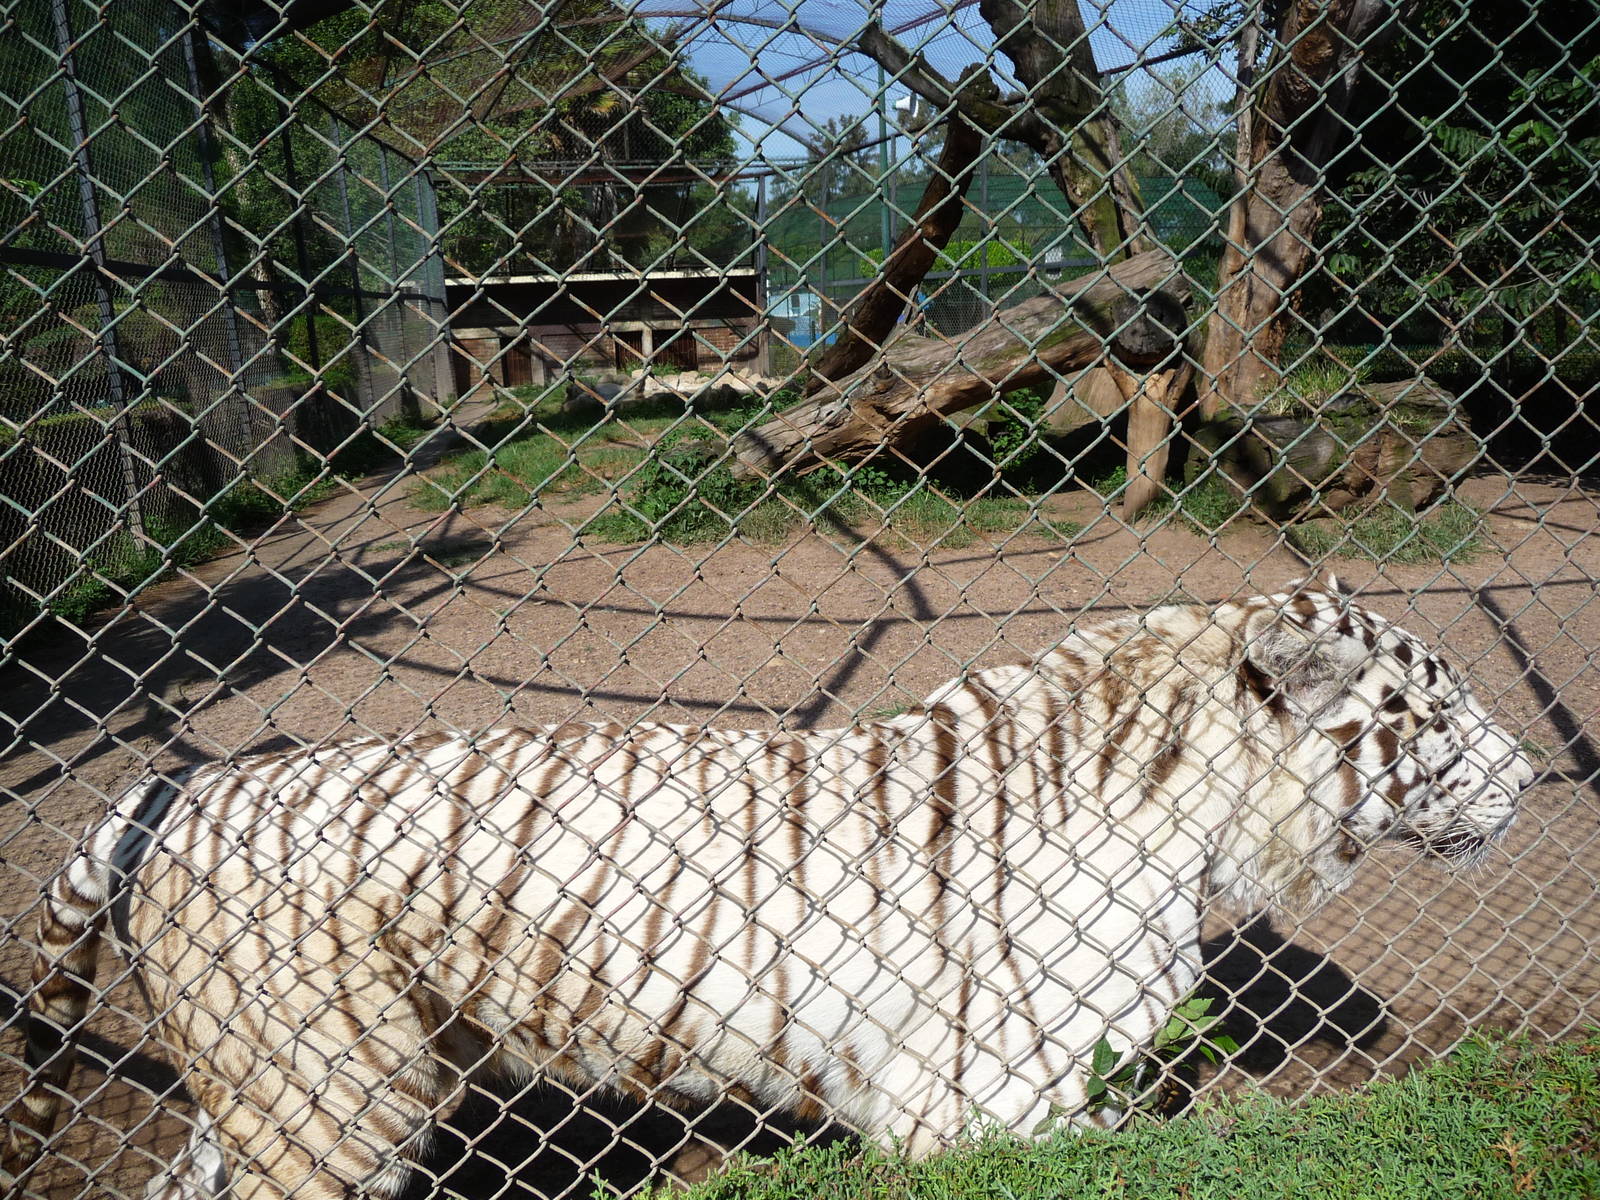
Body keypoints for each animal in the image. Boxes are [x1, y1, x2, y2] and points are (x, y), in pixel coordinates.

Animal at [3, 579, 1534, 1200]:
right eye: (1433, 708)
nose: (1527, 774)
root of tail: (180, 788)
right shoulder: (986, 1113)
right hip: (330, 1096)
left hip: (280, 1087)